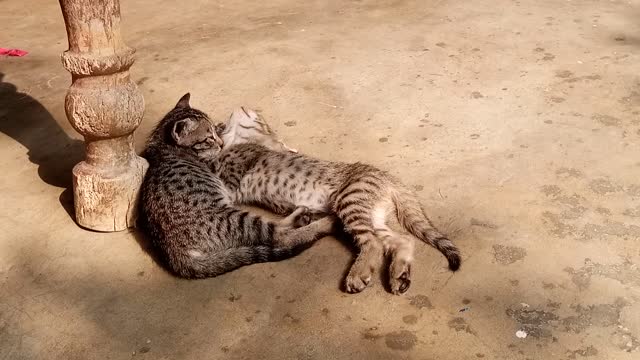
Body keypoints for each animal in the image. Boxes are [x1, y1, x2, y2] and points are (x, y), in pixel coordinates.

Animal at [139, 93, 336, 278]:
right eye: (208, 138)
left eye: (213, 134)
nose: (220, 143)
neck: (163, 145)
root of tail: (175, 254)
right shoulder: (226, 182)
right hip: (235, 219)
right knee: (280, 236)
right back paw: (322, 222)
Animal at [210, 109, 460, 296]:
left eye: (260, 120)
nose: (245, 108)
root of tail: (388, 177)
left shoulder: (230, 182)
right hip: (373, 214)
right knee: (402, 240)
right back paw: (399, 275)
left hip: (349, 201)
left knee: (373, 243)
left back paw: (358, 274)